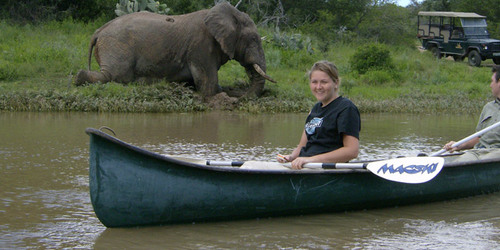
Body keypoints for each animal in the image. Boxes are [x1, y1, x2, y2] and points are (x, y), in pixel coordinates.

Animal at [74, 2, 276, 99]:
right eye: (253, 39)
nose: (242, 97)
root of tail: (98, 31)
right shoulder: (201, 46)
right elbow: (208, 86)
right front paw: (224, 96)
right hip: (117, 45)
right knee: (115, 75)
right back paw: (78, 78)